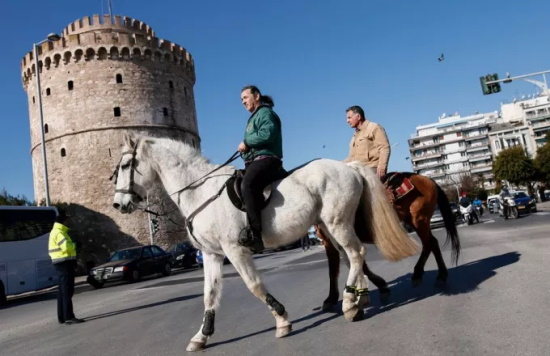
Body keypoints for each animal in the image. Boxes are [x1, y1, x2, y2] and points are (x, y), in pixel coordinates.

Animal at [114, 134, 420, 354]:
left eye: (126, 166)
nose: (118, 204)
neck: (200, 191)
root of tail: (348, 166)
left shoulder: (234, 249)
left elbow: (254, 285)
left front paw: (282, 319)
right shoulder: (211, 254)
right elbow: (209, 295)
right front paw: (201, 336)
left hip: (337, 222)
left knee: (356, 253)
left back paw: (348, 303)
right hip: (331, 225)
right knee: (350, 256)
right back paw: (360, 295)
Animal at [320, 174, 462, 310]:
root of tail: (427, 179)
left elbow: (358, 265)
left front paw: (382, 287)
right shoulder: (329, 241)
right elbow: (334, 269)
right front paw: (331, 298)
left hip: (419, 219)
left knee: (429, 243)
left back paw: (419, 274)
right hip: (416, 221)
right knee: (433, 242)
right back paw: (441, 275)